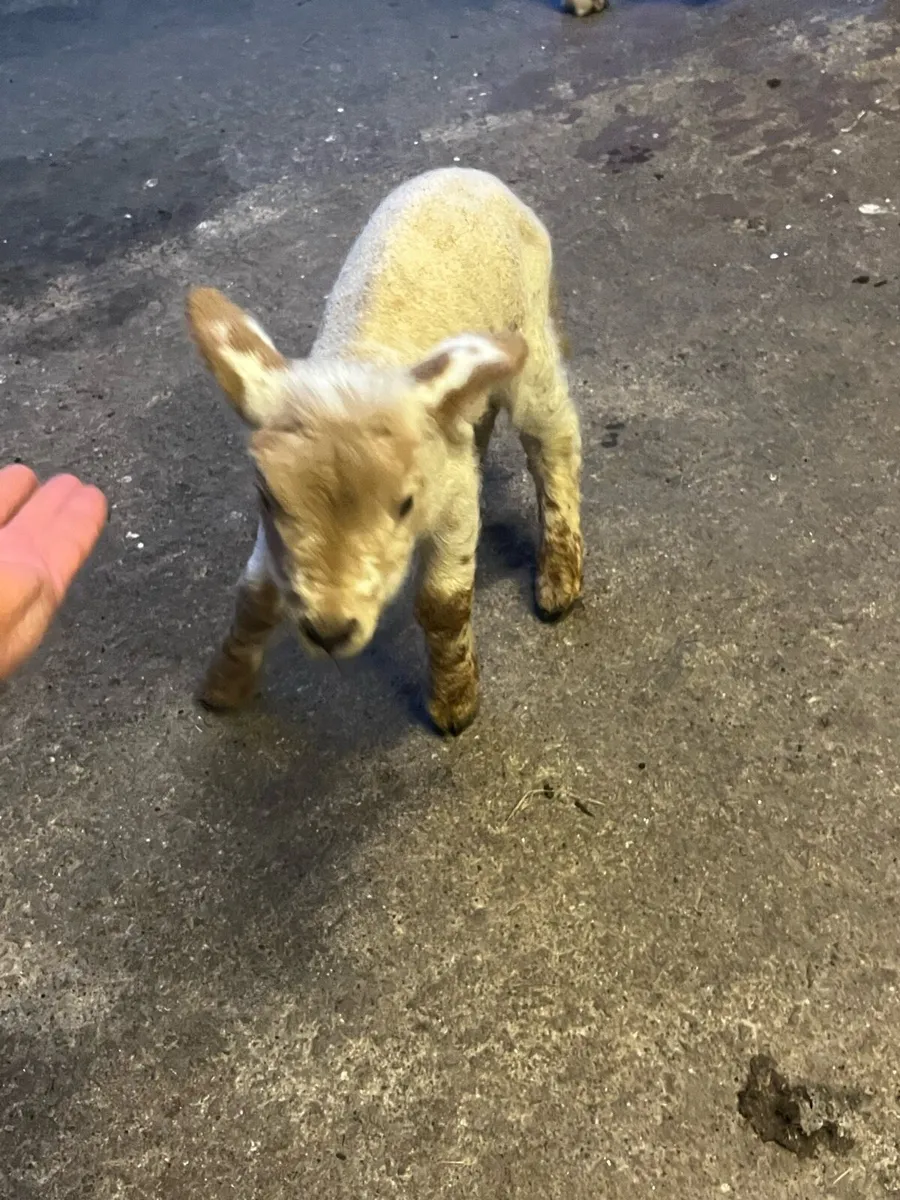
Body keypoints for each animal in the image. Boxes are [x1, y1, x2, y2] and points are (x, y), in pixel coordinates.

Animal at [186, 167, 584, 735]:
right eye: (267, 497)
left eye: (404, 504)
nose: (329, 631)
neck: (366, 355)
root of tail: (470, 174)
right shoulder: (277, 534)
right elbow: (255, 596)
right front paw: (224, 684)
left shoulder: (452, 502)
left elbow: (442, 604)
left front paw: (454, 705)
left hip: (528, 330)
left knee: (553, 438)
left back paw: (559, 575)